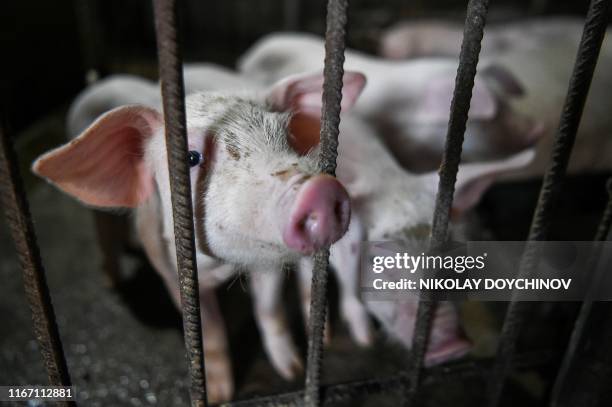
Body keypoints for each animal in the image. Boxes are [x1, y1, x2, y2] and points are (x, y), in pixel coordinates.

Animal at [31, 69, 366, 402]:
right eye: (191, 157)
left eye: (288, 138)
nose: (321, 189)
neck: (220, 268)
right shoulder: (171, 272)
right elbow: (211, 333)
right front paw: (219, 395)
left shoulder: (264, 261)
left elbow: (269, 309)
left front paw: (292, 370)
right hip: (101, 218)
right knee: (106, 236)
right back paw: (111, 281)